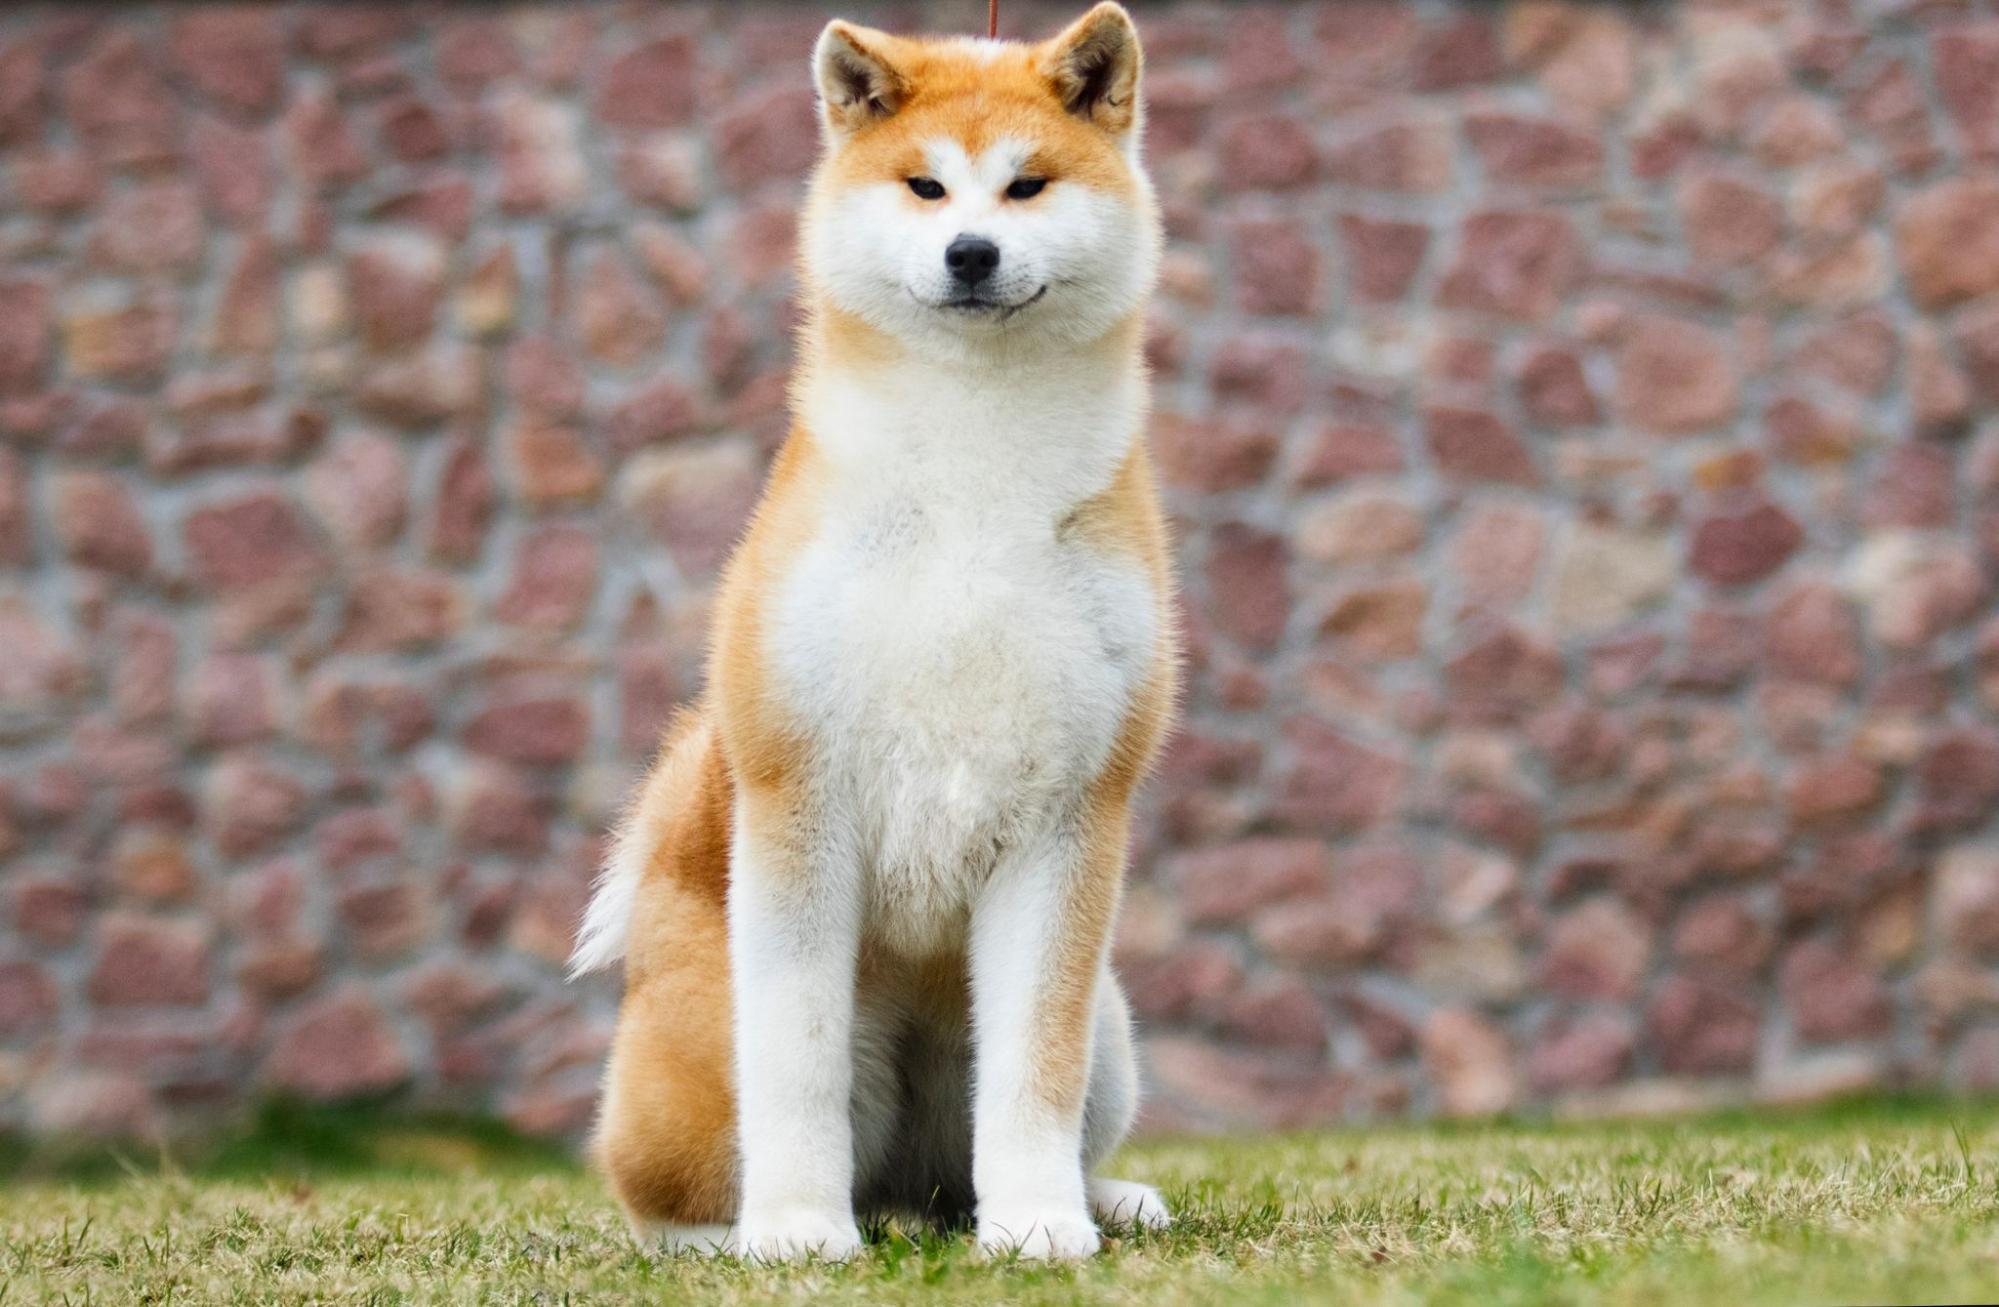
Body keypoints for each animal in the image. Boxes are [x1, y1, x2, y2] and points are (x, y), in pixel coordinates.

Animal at [571, 5, 1175, 1263]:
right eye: (925, 186)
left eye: (1027, 185)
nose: (971, 253)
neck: (973, 469)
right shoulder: (800, 801)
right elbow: (794, 1069)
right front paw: (800, 1232)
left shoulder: (1071, 824)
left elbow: (1034, 1077)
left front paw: (1040, 1223)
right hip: (697, 1063)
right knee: (670, 1192)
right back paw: (749, 1229)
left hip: (1110, 1025)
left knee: (979, 1160)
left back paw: (1093, 1199)